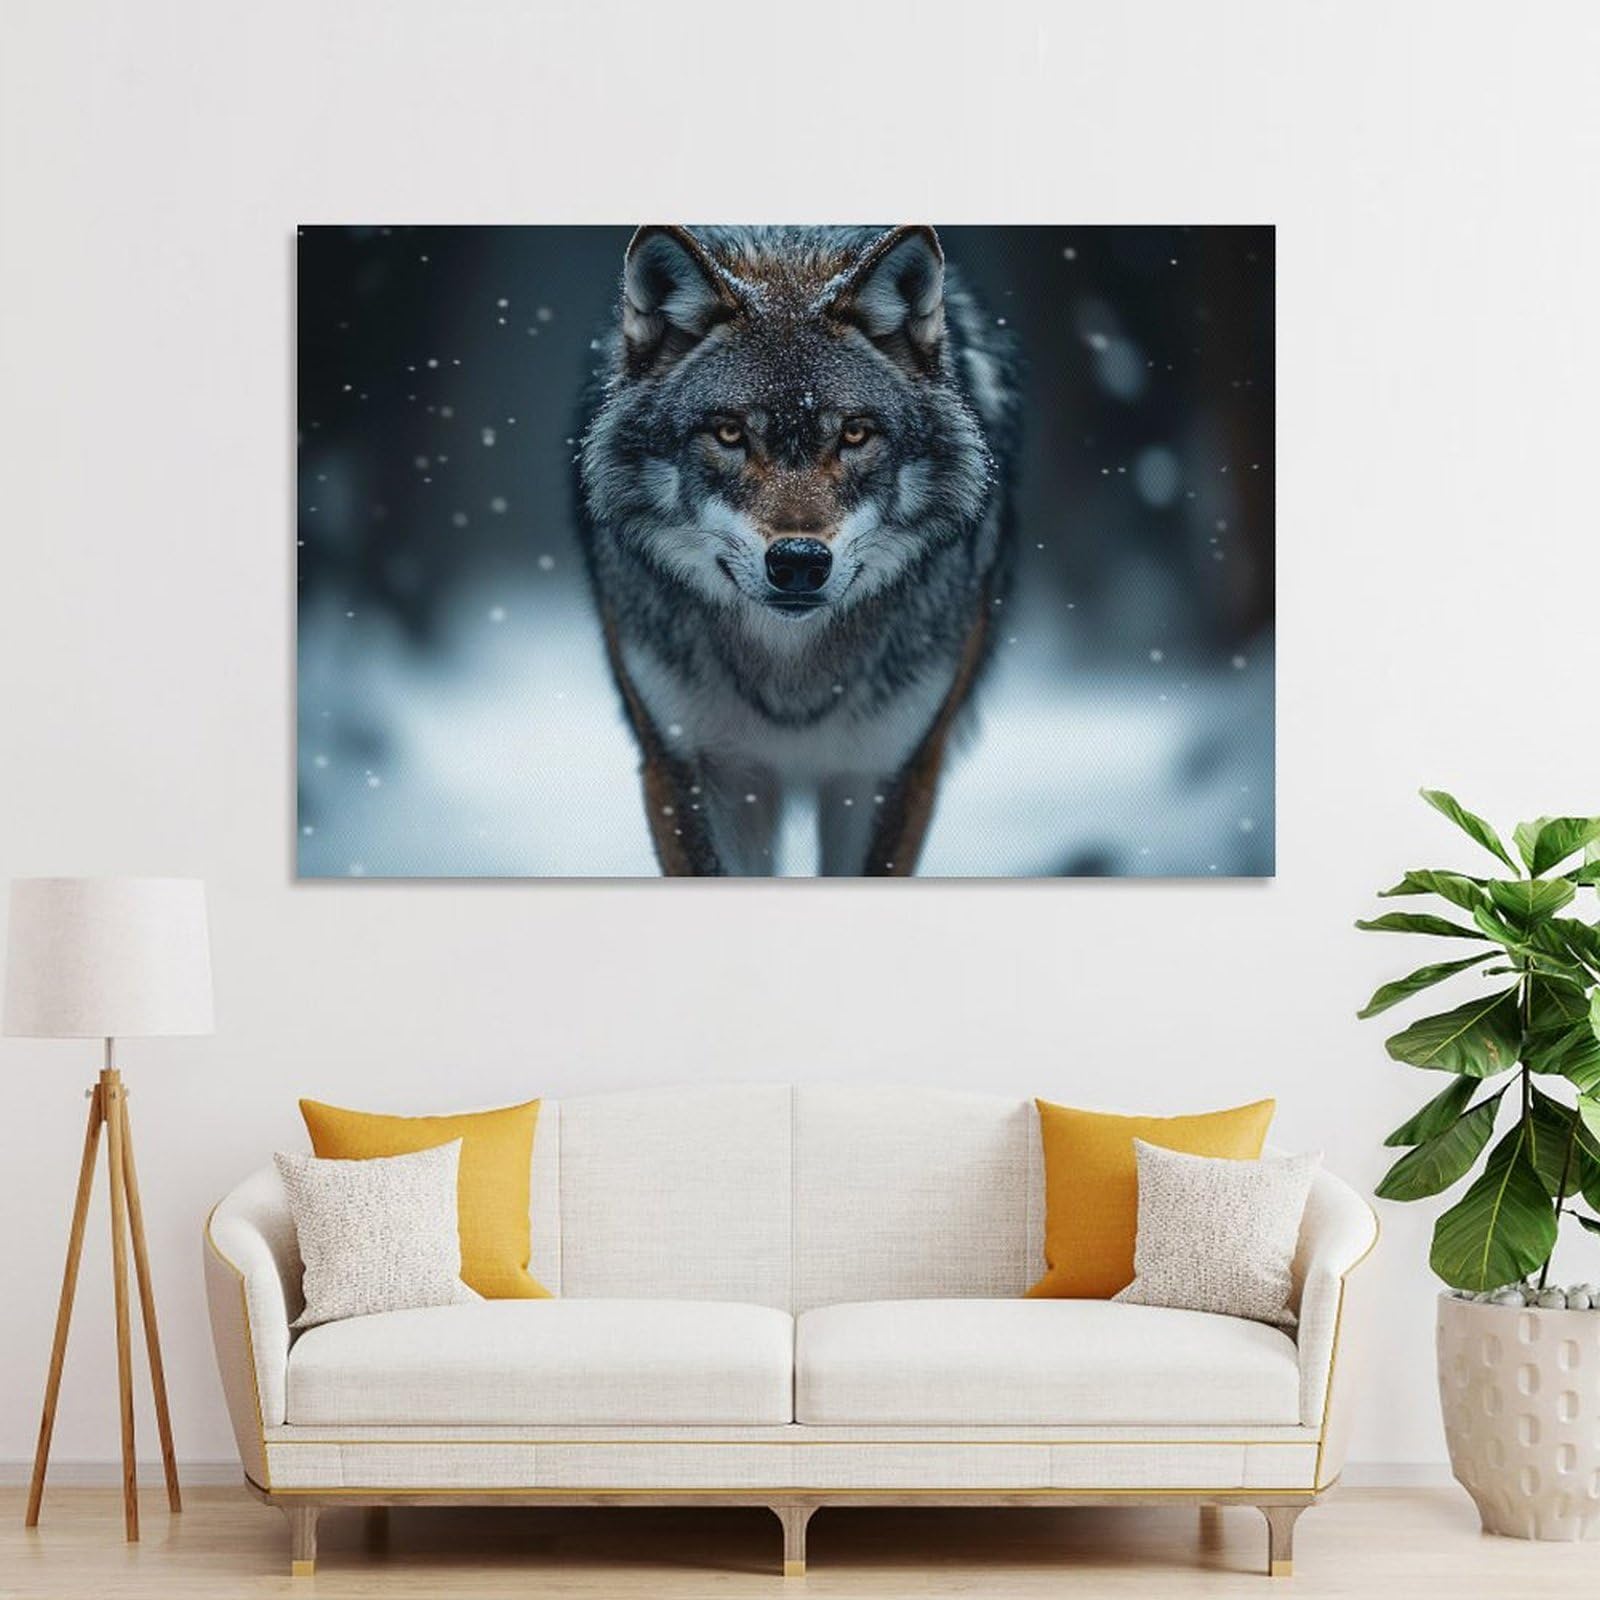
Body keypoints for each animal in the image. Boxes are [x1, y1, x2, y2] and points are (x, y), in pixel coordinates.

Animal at [575, 224, 1019, 876]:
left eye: (854, 433)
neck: (791, 679)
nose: (800, 562)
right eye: (729, 433)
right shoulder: (690, 767)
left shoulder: (888, 773)